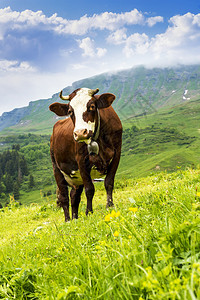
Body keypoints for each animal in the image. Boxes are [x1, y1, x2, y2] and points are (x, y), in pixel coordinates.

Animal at [49, 86, 122, 220]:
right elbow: (89, 189)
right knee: (63, 197)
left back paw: (75, 218)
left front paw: (110, 206)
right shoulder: (81, 161)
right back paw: (68, 220)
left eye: (92, 106)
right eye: (70, 111)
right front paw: (89, 212)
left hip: (76, 179)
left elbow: (109, 182)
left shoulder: (117, 153)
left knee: (74, 197)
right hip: (57, 168)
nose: (80, 133)